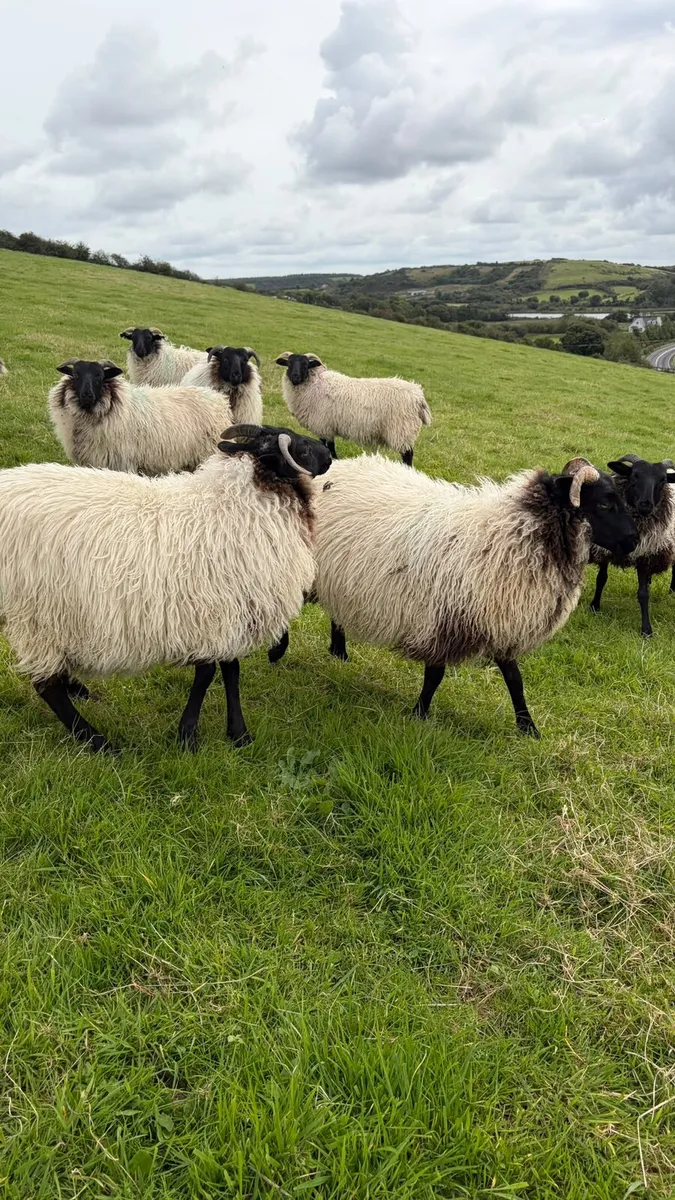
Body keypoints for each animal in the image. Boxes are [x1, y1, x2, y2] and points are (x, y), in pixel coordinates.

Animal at [0, 425, 332, 753]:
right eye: (301, 449)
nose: (329, 456)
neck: (236, 505)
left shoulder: (228, 612)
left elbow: (230, 670)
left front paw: (237, 734)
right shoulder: (212, 613)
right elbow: (208, 674)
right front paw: (189, 735)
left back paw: (80, 693)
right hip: (38, 616)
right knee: (47, 686)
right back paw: (98, 741)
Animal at [270, 455, 638, 737]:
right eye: (605, 503)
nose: (634, 541)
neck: (515, 534)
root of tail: (332, 469)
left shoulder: (497, 618)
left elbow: (515, 680)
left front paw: (528, 729)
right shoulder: (442, 618)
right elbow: (435, 675)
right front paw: (419, 714)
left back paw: (339, 650)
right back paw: (277, 651)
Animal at [275, 351, 431, 466]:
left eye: (306, 364)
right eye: (289, 364)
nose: (295, 377)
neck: (314, 384)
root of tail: (418, 396)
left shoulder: (324, 425)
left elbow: (328, 446)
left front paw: (334, 460)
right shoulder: (327, 426)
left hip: (401, 430)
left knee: (408, 455)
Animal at [589, 453, 675, 636]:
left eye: (663, 480)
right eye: (634, 475)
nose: (646, 504)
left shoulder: (645, 554)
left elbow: (643, 594)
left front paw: (646, 630)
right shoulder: (606, 550)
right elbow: (601, 579)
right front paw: (594, 606)